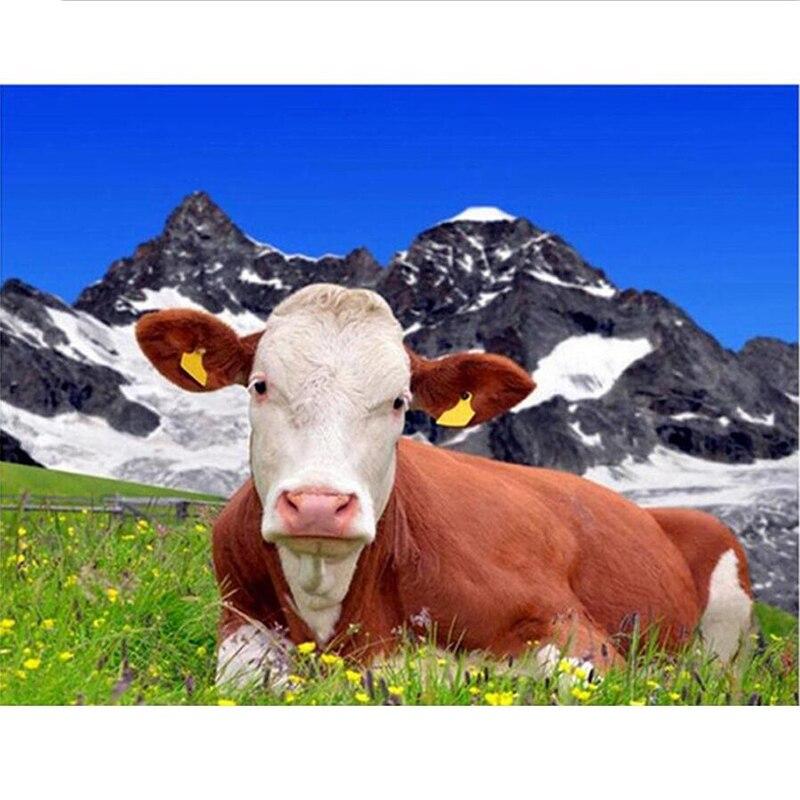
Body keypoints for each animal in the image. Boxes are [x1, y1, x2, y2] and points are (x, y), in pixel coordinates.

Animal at [135, 283, 754, 688]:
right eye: (260, 385)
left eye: (398, 402)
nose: (318, 505)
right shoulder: (239, 615)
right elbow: (245, 681)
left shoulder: (570, 626)